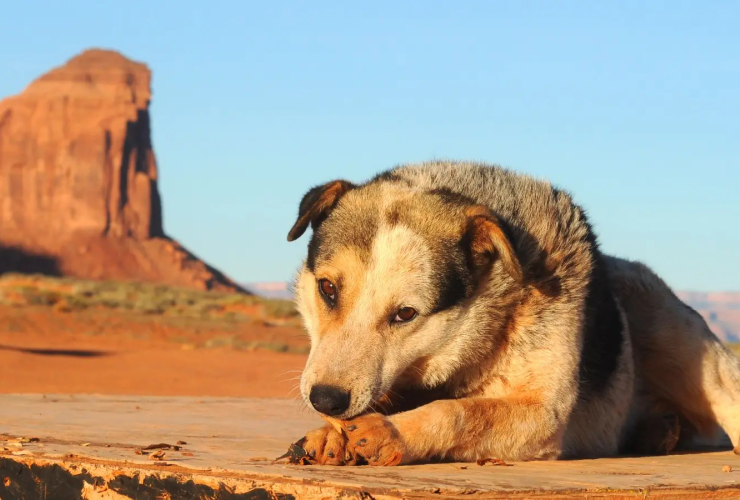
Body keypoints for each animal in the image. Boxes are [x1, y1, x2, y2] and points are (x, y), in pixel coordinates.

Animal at [284, 162, 740, 466]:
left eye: (405, 313)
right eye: (327, 289)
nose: (325, 398)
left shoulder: (544, 414)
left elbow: (461, 411)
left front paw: (394, 432)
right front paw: (330, 435)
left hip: (670, 329)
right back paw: (658, 432)